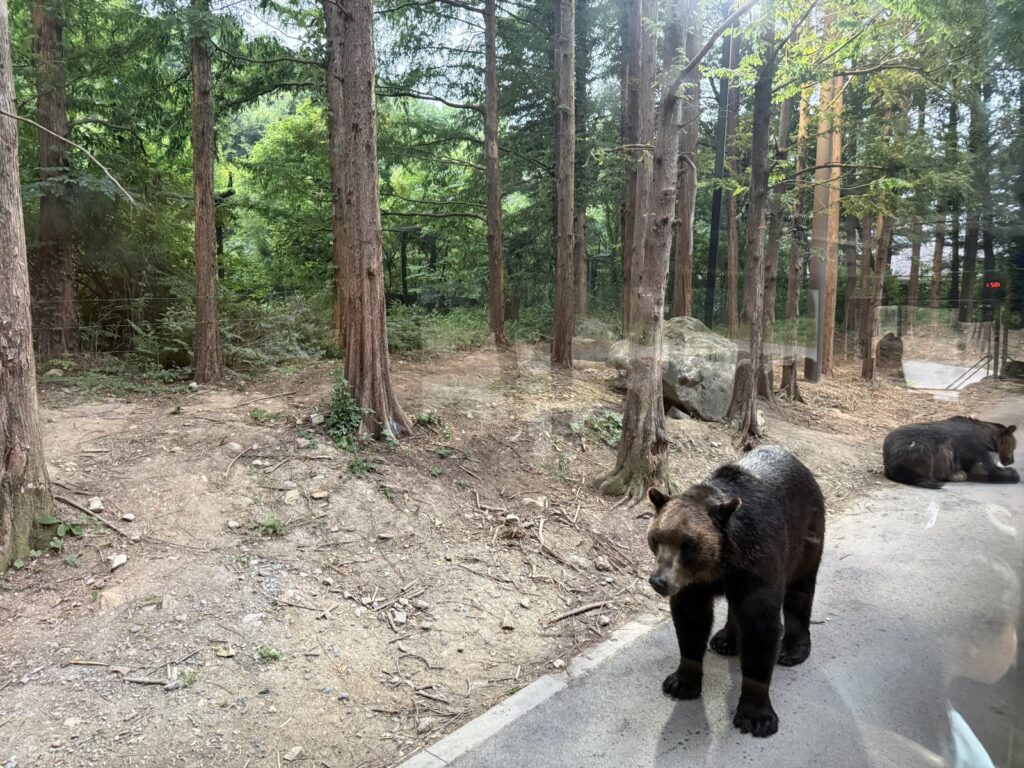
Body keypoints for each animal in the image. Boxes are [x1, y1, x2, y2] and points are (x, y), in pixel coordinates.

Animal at [647, 445, 825, 738]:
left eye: (688, 544)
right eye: (656, 538)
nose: (659, 581)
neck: (720, 563)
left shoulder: (758, 563)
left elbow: (760, 625)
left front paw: (757, 717)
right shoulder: (694, 584)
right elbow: (691, 622)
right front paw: (681, 682)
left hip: (807, 535)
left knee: (801, 591)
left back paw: (792, 649)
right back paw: (726, 640)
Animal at [882, 416, 1018, 489]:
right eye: (1014, 446)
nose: (1011, 460)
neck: (990, 439)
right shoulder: (975, 448)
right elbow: (986, 469)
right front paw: (1012, 473)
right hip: (912, 448)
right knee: (922, 459)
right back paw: (935, 483)